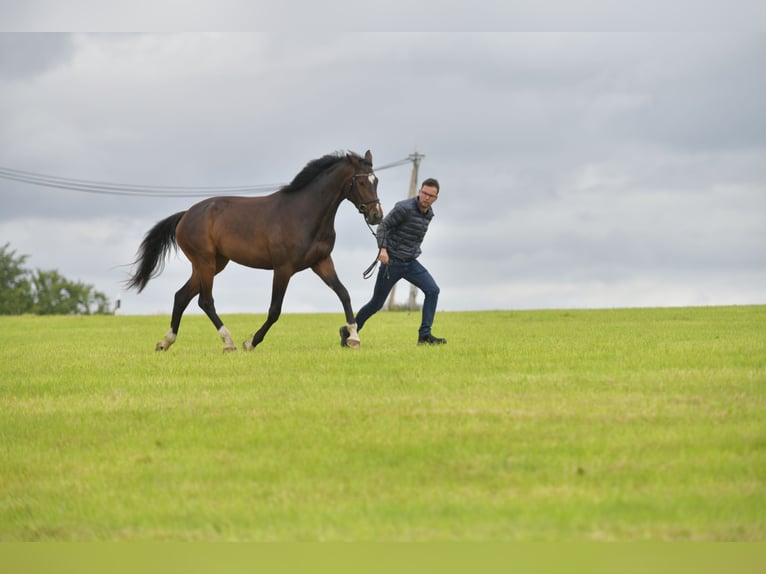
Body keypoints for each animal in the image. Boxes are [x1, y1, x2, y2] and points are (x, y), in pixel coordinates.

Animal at [130, 151, 390, 354]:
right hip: (205, 263)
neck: (304, 214)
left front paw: (353, 337)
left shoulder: (322, 262)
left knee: (181, 296)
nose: (376, 215)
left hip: (213, 264)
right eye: (362, 182)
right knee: (205, 301)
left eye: (376, 180)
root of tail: (186, 215)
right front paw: (251, 342)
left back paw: (165, 342)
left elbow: (344, 294)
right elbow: (275, 310)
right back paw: (229, 342)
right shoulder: (283, 269)